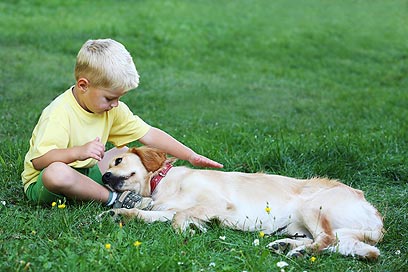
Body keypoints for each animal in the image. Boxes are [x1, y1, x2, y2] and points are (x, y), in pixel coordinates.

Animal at [100, 147, 384, 260]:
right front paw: (117, 214)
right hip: (314, 229)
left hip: (313, 207)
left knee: (325, 239)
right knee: (362, 250)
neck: (162, 183)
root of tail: (375, 216)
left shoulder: (217, 202)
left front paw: (188, 232)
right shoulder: (168, 210)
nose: (104, 177)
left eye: (118, 160)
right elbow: (147, 214)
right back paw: (286, 246)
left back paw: (299, 252)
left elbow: (180, 219)